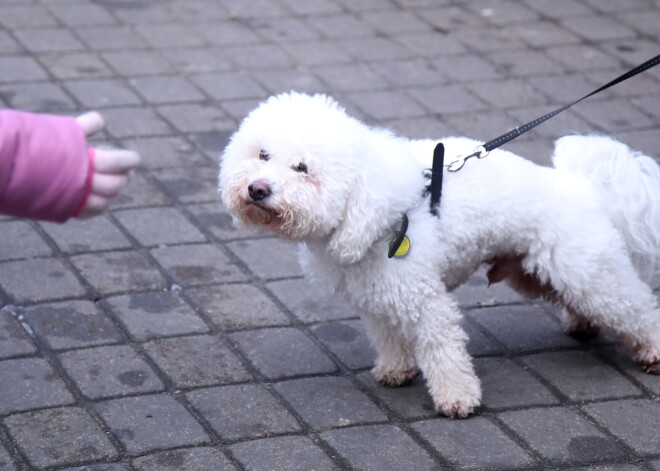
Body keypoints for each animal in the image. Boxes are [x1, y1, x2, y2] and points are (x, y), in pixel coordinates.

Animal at [222, 94, 660, 418]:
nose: (257, 189)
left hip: (586, 271)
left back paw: (652, 351)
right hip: (538, 274)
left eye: (303, 168)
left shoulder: (426, 300)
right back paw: (583, 324)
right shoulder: (376, 296)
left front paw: (457, 399)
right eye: (262, 155)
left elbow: (443, 350)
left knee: (635, 307)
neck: (372, 208)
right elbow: (390, 338)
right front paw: (397, 370)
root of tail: (581, 185)